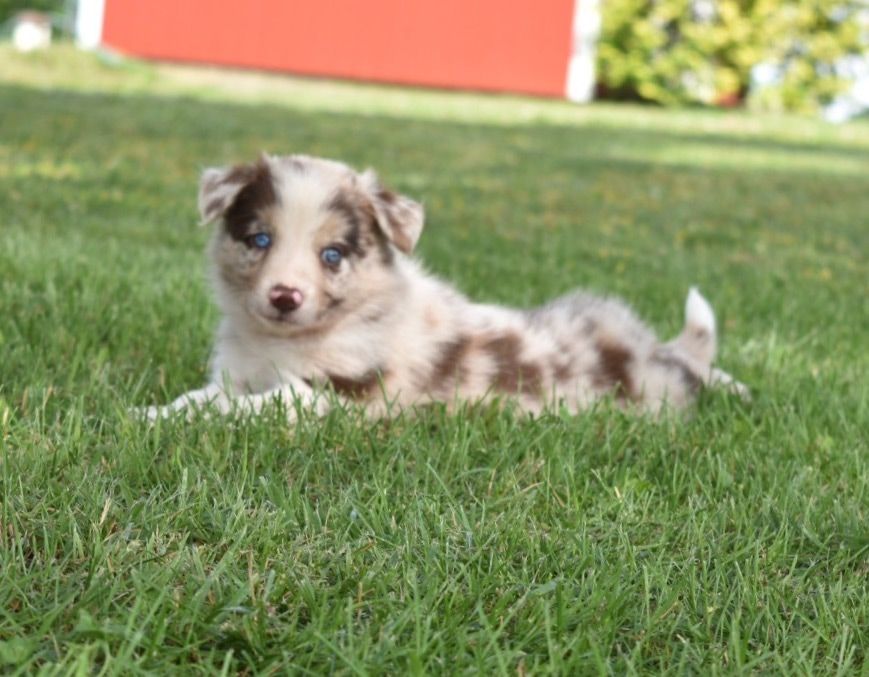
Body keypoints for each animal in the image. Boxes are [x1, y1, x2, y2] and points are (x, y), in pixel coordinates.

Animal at [142, 154, 744, 420]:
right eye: (260, 239)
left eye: (332, 254)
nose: (284, 297)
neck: (284, 343)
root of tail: (644, 348)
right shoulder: (237, 373)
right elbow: (203, 397)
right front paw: (154, 413)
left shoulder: (337, 394)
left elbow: (251, 408)